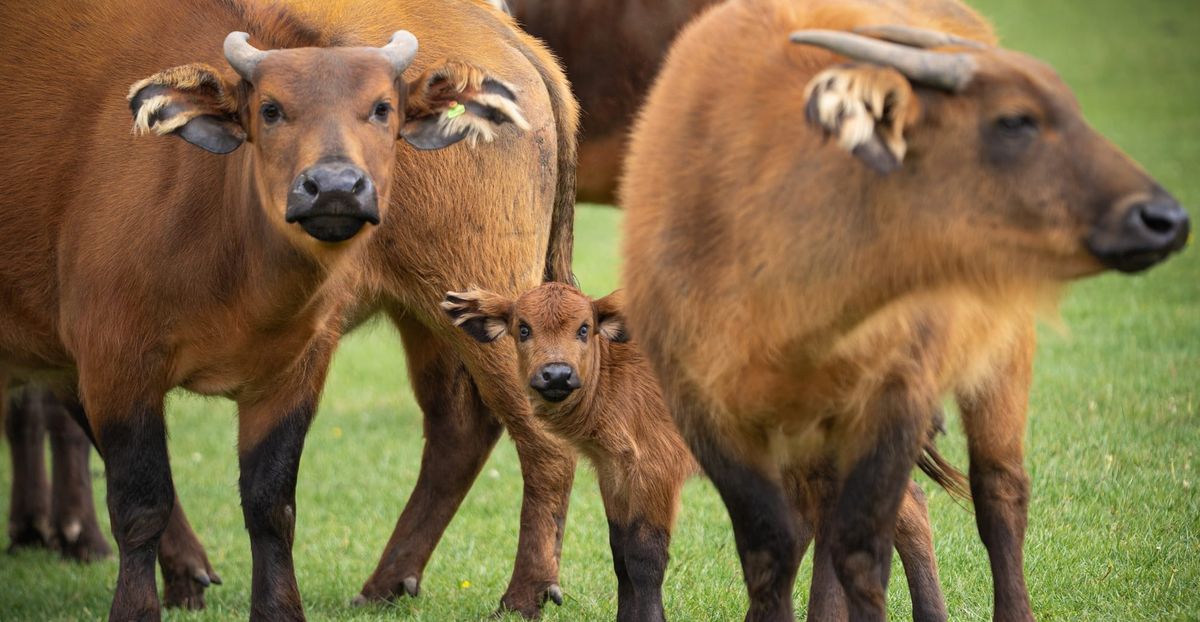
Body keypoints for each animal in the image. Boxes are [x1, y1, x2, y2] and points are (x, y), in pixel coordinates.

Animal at [0, 0, 551, 619]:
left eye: (383, 108)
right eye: (270, 109)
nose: (334, 186)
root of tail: (508, 34)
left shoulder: (292, 369)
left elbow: (267, 504)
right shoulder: (111, 362)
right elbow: (149, 502)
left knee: (539, 433)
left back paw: (523, 589)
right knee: (465, 427)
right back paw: (396, 581)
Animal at [442, 283, 966, 621]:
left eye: (584, 328)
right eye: (522, 328)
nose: (555, 374)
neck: (615, 376)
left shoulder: (657, 467)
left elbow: (646, 557)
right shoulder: (614, 470)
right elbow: (620, 555)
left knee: (899, 510)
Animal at [619, 0, 1190, 621]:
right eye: (1015, 120)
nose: (1167, 218)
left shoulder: (894, 398)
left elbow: (863, 553)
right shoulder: (705, 412)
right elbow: (771, 552)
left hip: (1003, 353)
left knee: (999, 492)